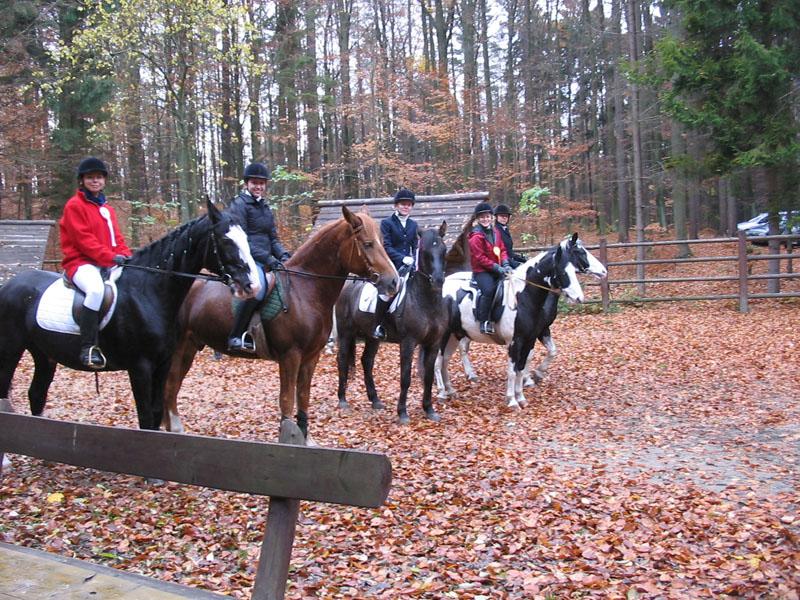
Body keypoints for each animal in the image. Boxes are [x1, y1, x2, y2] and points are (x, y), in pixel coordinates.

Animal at [0, 202, 260, 432]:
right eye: (226, 240)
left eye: (246, 239)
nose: (252, 285)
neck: (147, 291)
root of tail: (9, 285)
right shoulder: (140, 366)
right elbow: (145, 416)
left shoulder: (163, 363)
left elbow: (155, 412)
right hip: (11, 350)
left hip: (44, 354)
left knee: (36, 394)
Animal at [161, 209, 398, 438]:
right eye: (368, 243)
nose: (393, 281)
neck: (305, 290)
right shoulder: (290, 356)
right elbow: (286, 400)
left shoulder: (311, 357)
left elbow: (303, 397)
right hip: (178, 348)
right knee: (170, 385)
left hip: (189, 347)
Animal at [334, 223, 454, 424]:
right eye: (425, 251)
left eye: (444, 250)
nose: (438, 280)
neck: (426, 301)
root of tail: (348, 285)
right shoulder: (408, 342)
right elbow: (405, 377)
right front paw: (402, 413)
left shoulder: (434, 343)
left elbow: (428, 376)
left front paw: (429, 410)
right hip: (345, 334)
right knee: (342, 360)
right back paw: (342, 400)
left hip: (372, 337)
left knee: (367, 361)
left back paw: (375, 400)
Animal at [438, 234, 600, 408]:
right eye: (563, 273)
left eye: (573, 270)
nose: (579, 298)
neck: (522, 297)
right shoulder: (515, 342)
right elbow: (512, 370)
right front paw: (512, 400)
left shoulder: (531, 338)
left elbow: (522, 367)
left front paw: (521, 395)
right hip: (444, 336)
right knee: (438, 361)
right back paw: (442, 392)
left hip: (454, 335)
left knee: (445, 360)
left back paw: (450, 390)